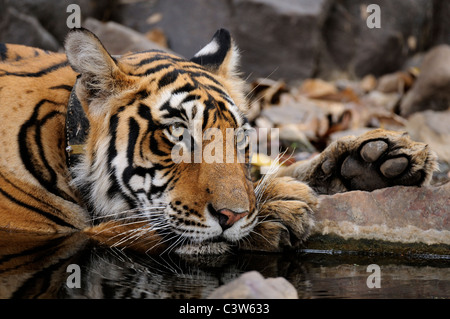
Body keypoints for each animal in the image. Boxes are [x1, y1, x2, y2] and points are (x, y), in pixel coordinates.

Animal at [0, 28, 438, 256]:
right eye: (178, 134)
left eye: (239, 138)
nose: (233, 216)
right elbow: (133, 229)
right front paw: (279, 208)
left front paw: (376, 160)